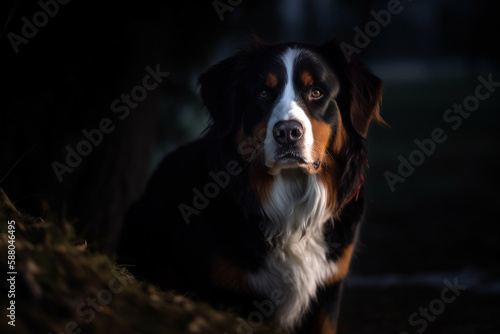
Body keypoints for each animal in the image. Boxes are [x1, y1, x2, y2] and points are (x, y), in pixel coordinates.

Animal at [117, 37, 382, 332]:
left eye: (316, 92)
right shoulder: (227, 289)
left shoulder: (327, 295)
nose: (287, 132)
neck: (291, 199)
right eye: (263, 93)